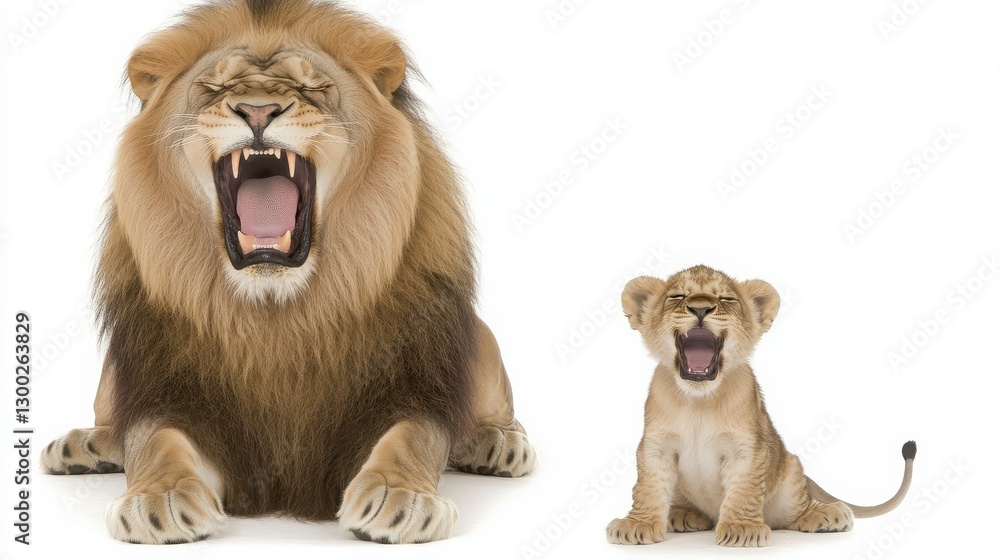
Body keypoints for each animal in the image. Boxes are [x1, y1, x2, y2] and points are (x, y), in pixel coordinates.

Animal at [40, 0, 535, 545]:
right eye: (214, 88)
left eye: (312, 87)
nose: (257, 111)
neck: (277, 313)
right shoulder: (170, 392)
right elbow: (154, 441)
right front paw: (159, 498)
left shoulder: (410, 385)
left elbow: (412, 437)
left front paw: (398, 495)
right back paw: (83, 445)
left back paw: (496, 443)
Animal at [606, 265, 915, 547]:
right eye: (677, 296)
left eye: (726, 299)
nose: (700, 308)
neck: (699, 400)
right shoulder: (655, 446)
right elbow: (648, 487)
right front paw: (637, 525)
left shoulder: (748, 448)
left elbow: (743, 489)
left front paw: (741, 528)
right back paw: (682, 514)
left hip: (790, 473)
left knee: (797, 508)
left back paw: (828, 514)